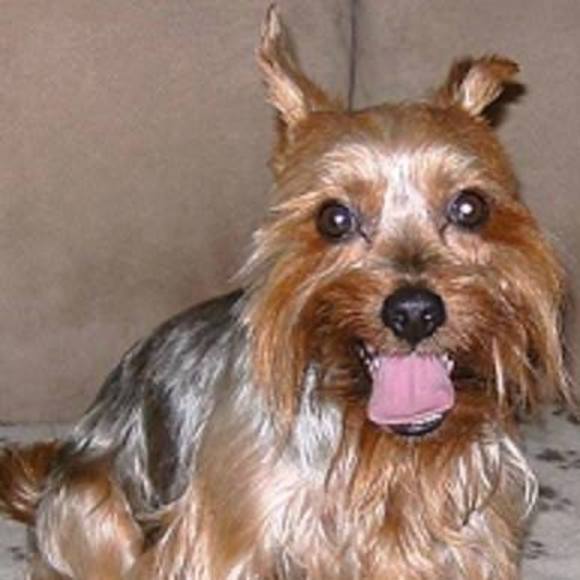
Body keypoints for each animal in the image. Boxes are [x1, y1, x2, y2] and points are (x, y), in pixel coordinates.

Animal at [0, 6, 573, 579]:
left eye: (470, 207)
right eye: (334, 218)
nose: (414, 312)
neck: (379, 446)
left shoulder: (470, 535)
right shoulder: (234, 536)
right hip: (91, 506)